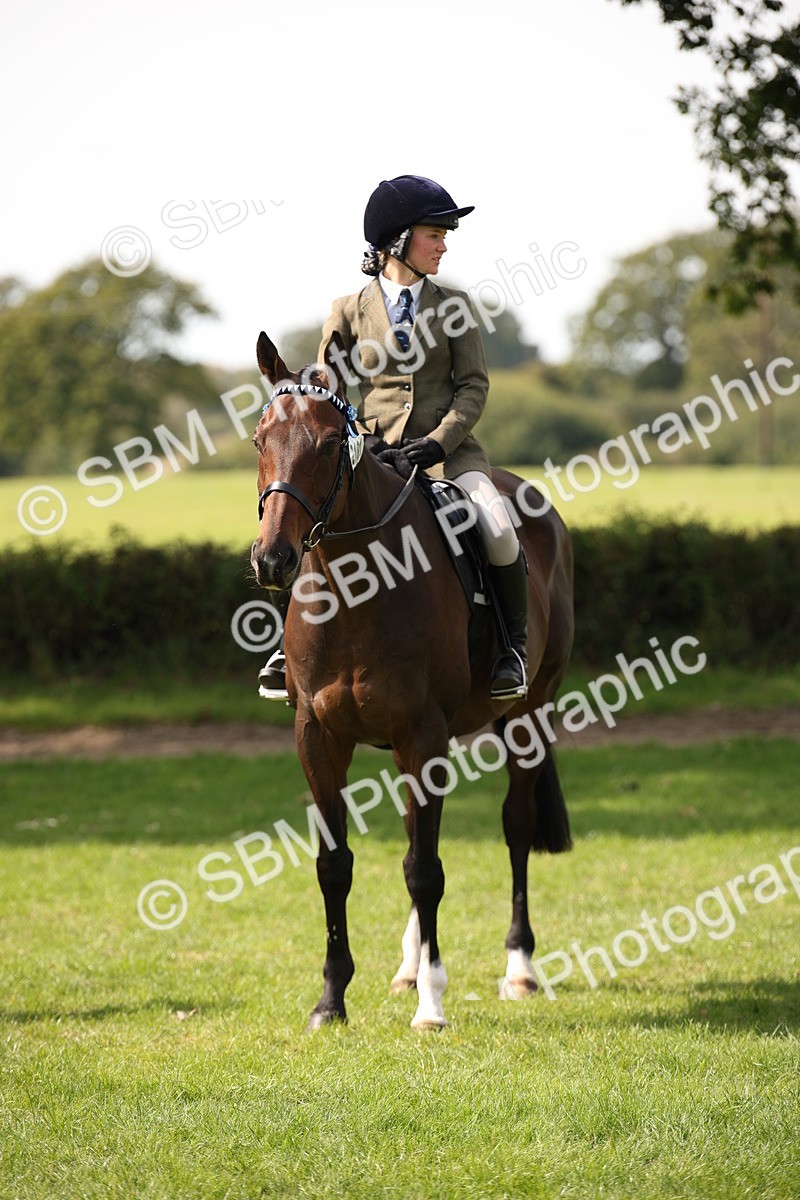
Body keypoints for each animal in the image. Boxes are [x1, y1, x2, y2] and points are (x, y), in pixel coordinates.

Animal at [250, 330, 574, 1031]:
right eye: (261, 438)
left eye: (328, 444)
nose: (273, 559)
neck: (357, 587)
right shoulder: (318, 735)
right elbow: (336, 865)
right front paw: (331, 1000)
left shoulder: (424, 733)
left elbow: (425, 870)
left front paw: (432, 1004)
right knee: (412, 829)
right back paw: (407, 964)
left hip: (528, 715)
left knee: (514, 824)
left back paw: (519, 968)